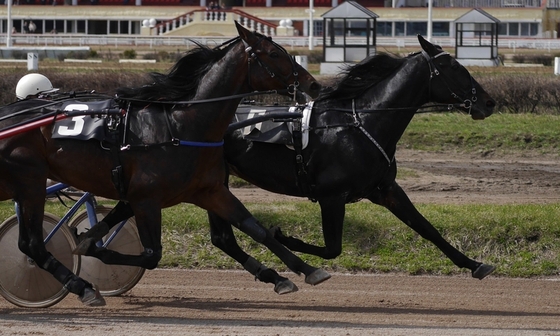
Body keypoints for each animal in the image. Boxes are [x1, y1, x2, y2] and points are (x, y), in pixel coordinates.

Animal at [0, 22, 324, 308]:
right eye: (273, 54)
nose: (314, 84)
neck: (180, 127)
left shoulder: (210, 191)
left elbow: (257, 229)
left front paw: (305, 271)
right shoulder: (145, 199)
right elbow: (150, 254)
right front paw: (89, 246)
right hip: (30, 180)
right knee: (31, 245)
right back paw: (83, 288)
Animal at [212, 35, 496, 280]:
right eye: (454, 66)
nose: (489, 102)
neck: (359, 124)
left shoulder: (385, 189)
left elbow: (427, 228)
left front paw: (475, 264)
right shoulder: (331, 197)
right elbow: (332, 249)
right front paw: (281, 235)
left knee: (222, 239)